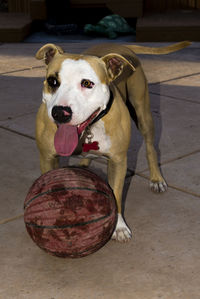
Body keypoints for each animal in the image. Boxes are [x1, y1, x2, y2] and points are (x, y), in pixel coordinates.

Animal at [35, 41, 191, 244]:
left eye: (87, 83)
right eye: (53, 81)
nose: (60, 112)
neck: (90, 128)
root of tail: (119, 44)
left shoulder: (118, 161)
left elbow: (116, 195)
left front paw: (119, 227)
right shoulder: (47, 158)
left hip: (143, 113)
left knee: (150, 147)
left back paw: (156, 179)